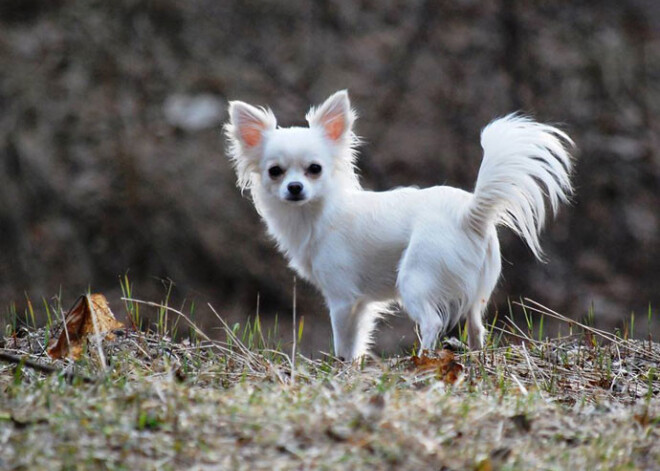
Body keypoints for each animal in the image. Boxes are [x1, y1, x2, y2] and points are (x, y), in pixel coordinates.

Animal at [223, 90, 572, 360]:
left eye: (314, 169)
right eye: (275, 172)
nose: (294, 188)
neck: (320, 213)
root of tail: (468, 214)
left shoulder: (342, 300)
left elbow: (343, 344)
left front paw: (340, 370)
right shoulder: (361, 305)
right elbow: (358, 343)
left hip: (415, 278)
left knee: (432, 323)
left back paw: (423, 359)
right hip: (477, 295)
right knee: (476, 326)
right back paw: (476, 358)